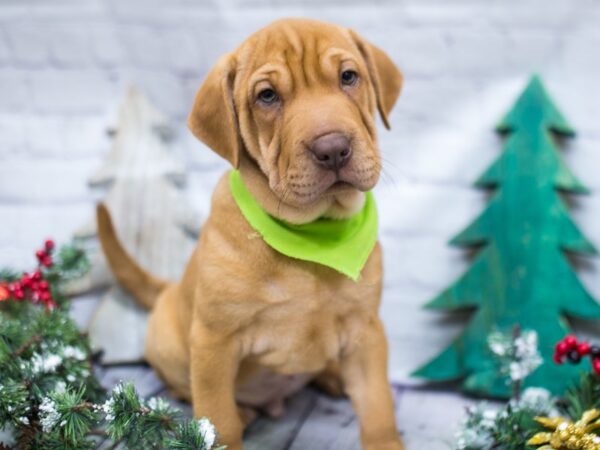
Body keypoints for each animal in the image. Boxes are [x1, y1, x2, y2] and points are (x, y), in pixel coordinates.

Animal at [98, 17, 406, 450]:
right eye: (267, 96)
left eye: (348, 77)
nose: (332, 148)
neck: (312, 235)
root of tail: (167, 290)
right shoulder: (214, 342)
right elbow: (219, 417)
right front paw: (223, 428)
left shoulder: (366, 331)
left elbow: (378, 408)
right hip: (170, 346)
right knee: (183, 388)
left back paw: (331, 375)